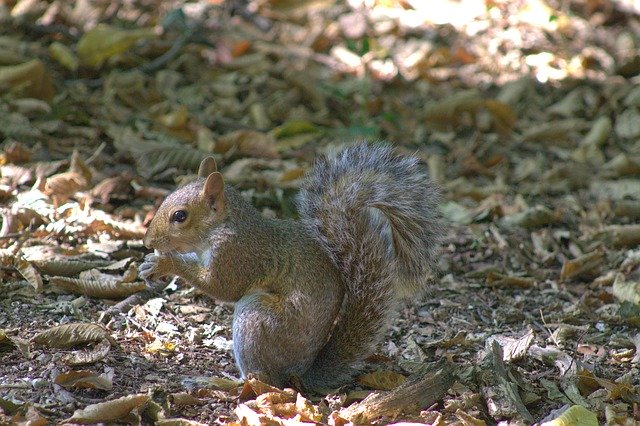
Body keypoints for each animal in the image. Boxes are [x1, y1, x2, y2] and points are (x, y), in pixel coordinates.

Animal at [140, 143, 442, 390]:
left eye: (180, 216)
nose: (147, 241)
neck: (223, 226)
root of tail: (300, 373)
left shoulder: (237, 254)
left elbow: (223, 287)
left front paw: (165, 262)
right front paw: (149, 266)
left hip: (257, 318)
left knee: (262, 381)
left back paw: (219, 382)